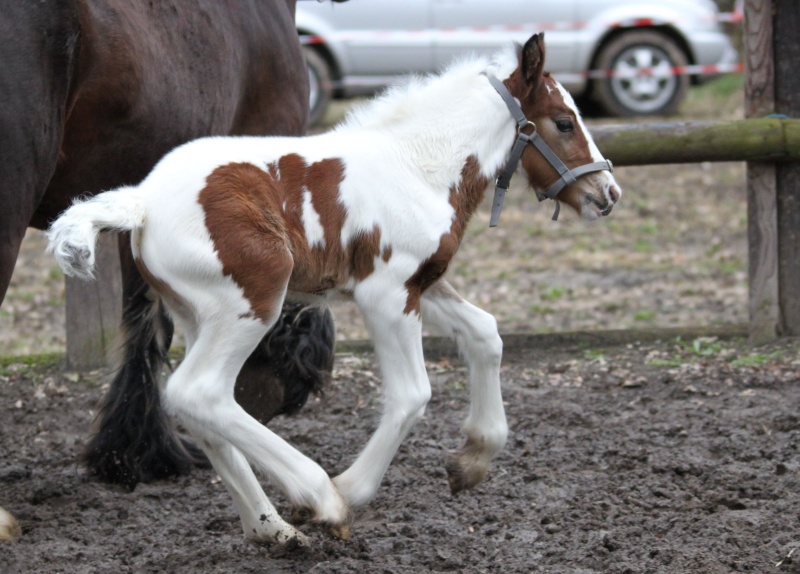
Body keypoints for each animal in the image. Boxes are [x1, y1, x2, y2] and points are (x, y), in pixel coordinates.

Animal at [48, 33, 620, 548]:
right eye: (564, 122)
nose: (607, 193)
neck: (418, 166)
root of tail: (140, 201)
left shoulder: (423, 283)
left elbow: (485, 333)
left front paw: (472, 460)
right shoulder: (387, 295)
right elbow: (412, 394)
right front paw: (353, 487)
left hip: (196, 313)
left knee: (196, 407)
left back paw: (273, 529)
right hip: (250, 305)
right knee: (199, 392)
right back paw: (319, 497)